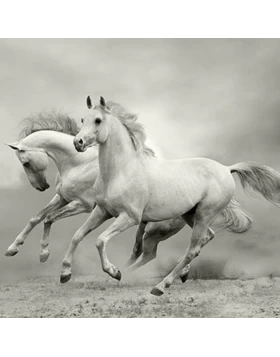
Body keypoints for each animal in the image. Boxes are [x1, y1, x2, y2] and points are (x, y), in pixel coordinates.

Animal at [70, 95, 280, 294]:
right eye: (82, 119)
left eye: (98, 120)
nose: (77, 142)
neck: (121, 171)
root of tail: (227, 169)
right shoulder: (102, 211)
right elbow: (77, 235)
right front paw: (65, 273)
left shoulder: (129, 217)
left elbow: (100, 240)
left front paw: (114, 272)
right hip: (190, 215)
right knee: (204, 239)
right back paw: (175, 275)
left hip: (204, 215)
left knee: (191, 250)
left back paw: (161, 286)